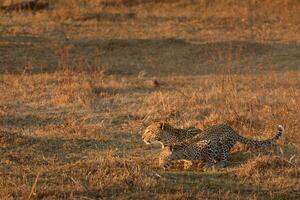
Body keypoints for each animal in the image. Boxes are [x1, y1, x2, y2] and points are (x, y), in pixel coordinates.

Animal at [142, 122, 284, 169]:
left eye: (149, 131)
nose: (142, 137)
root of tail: (232, 129)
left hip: (223, 143)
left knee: (225, 158)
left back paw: (218, 163)